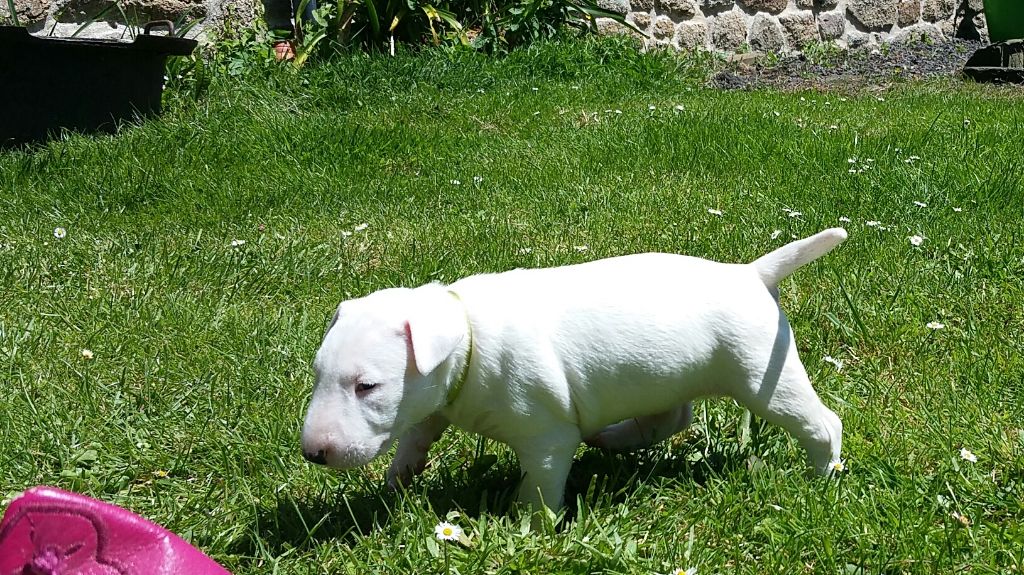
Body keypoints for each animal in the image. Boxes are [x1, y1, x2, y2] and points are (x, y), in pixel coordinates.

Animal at [302, 228, 848, 512]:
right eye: (317, 375)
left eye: (367, 386)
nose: (314, 454)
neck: (469, 335)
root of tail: (752, 273)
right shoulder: (438, 394)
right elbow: (419, 428)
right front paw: (400, 474)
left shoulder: (545, 433)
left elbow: (541, 483)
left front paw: (527, 525)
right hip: (662, 375)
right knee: (672, 418)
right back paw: (614, 438)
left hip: (761, 376)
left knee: (820, 422)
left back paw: (823, 475)